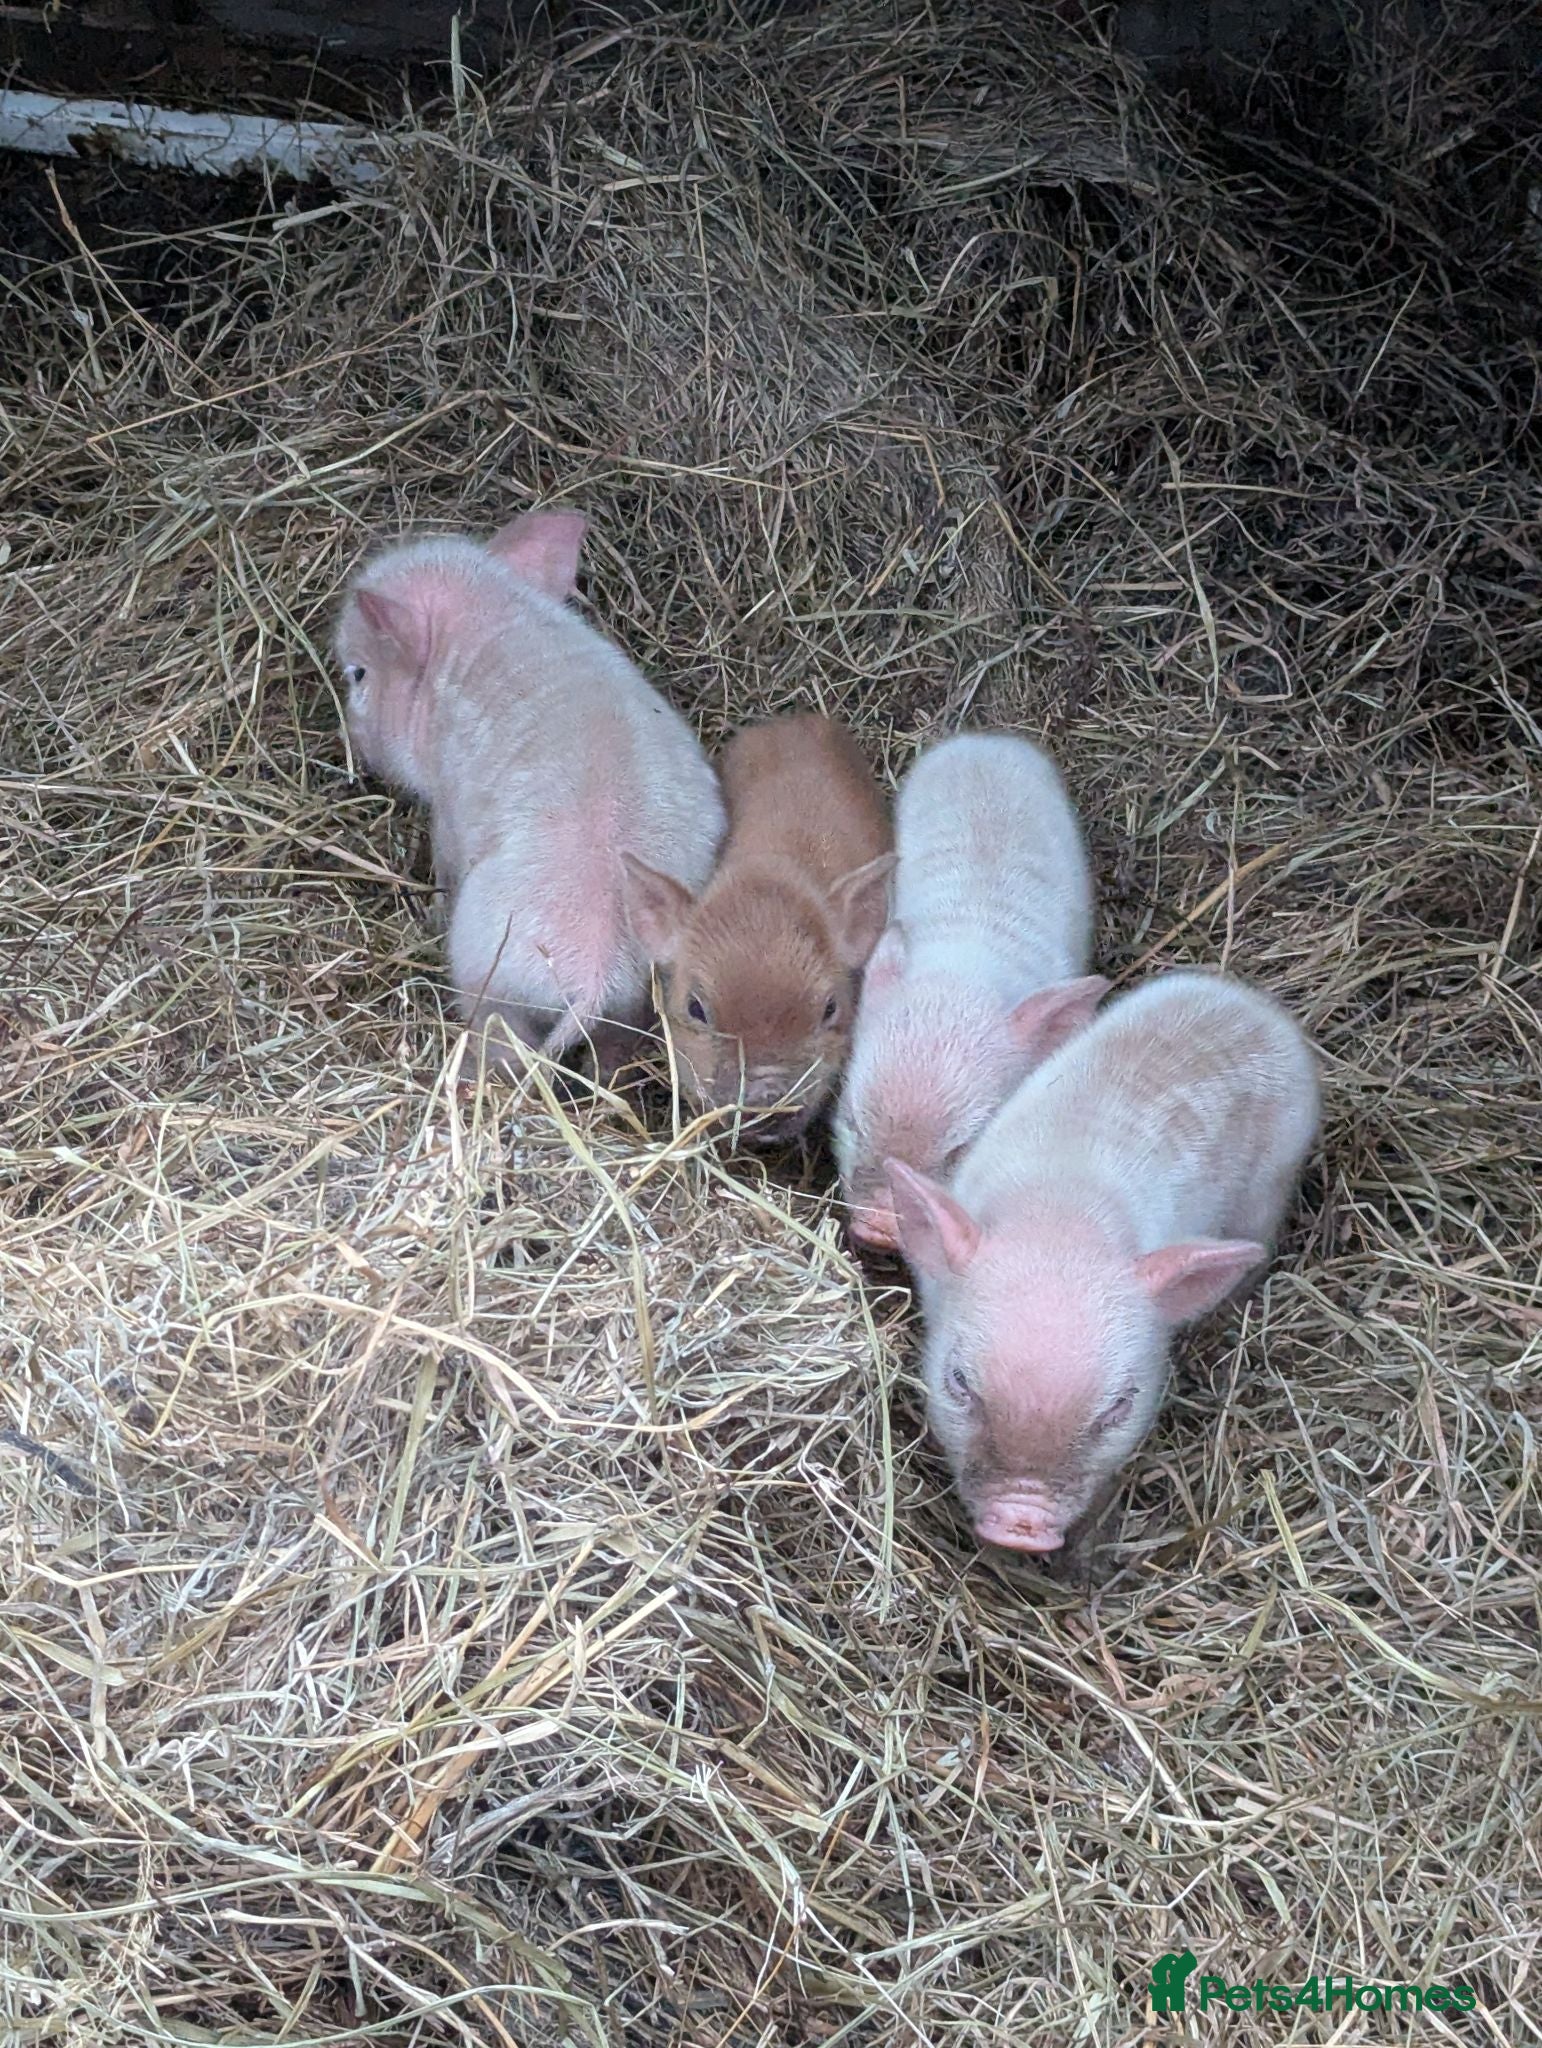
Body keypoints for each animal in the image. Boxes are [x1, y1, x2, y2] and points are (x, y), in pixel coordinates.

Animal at [334, 509, 725, 1068]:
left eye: (358, 673)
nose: (355, 744)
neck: (489, 610)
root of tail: (597, 975)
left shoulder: (448, 807)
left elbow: (444, 865)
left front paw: (431, 911)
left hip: (493, 983)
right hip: (637, 1007)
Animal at [885, 970, 1320, 1557]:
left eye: (1117, 1408)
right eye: (959, 1383)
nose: (1022, 1524)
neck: (1061, 1218)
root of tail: (1255, 1006)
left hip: (1269, 1186)